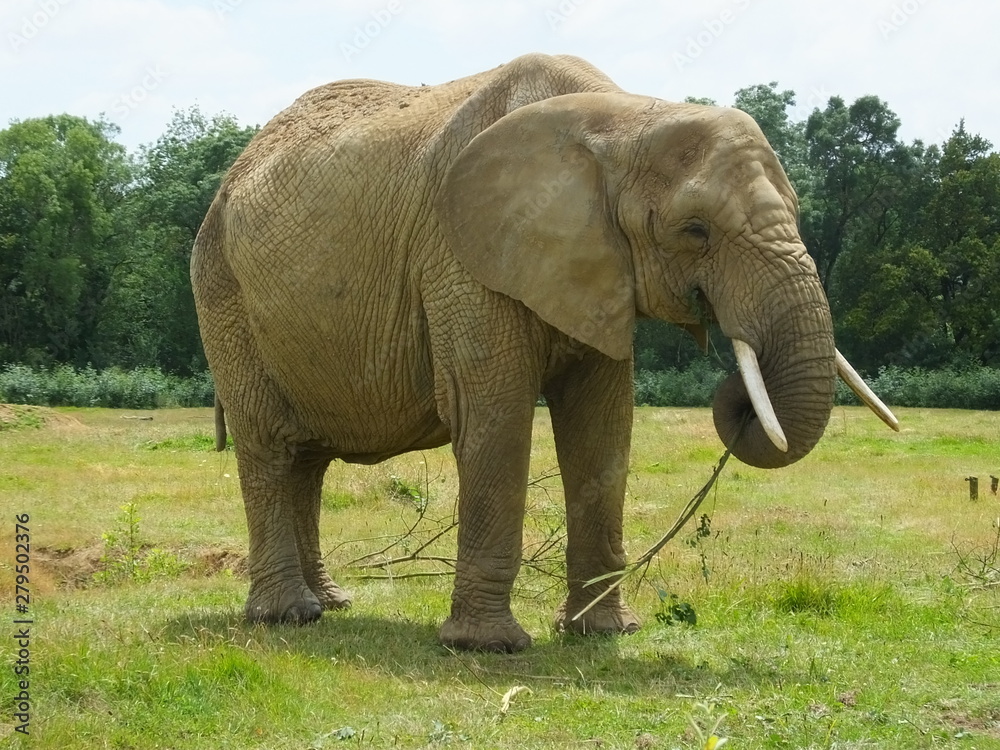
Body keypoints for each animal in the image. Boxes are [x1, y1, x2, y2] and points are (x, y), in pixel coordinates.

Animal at [190, 53, 897, 652]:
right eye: (695, 230)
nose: (744, 404)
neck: (621, 117)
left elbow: (603, 423)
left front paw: (605, 634)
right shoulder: (461, 255)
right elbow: (494, 415)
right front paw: (489, 647)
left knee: (307, 461)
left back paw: (330, 605)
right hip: (222, 291)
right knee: (270, 444)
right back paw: (287, 617)